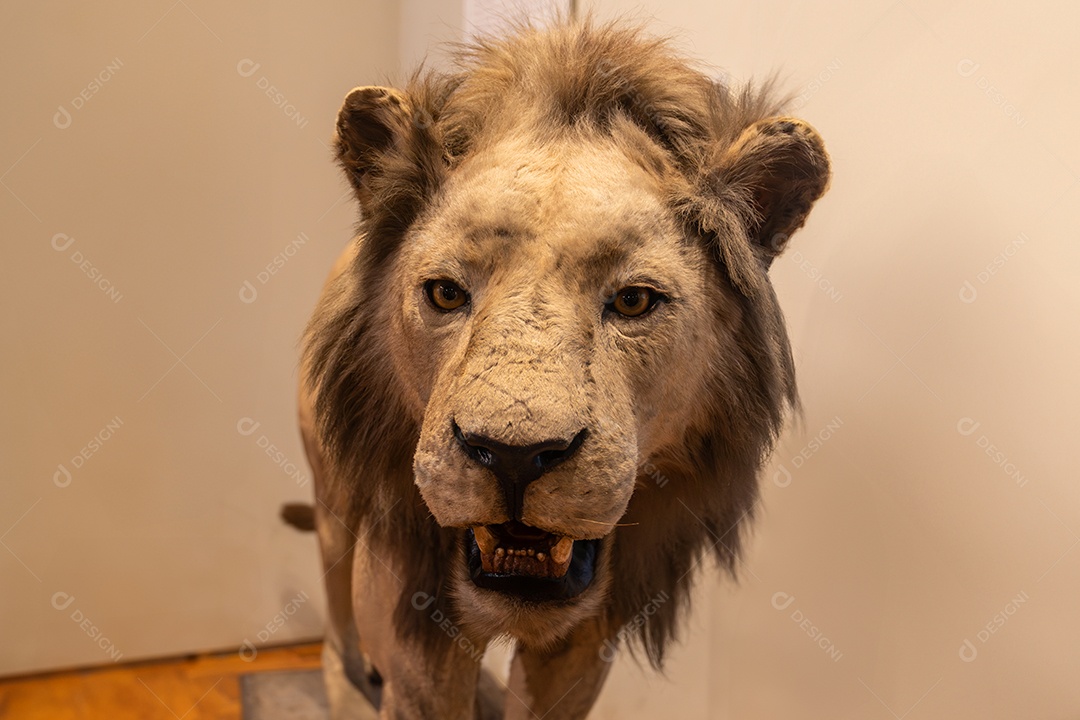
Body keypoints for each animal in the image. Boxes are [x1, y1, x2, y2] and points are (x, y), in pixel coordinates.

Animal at [296, 19, 830, 720]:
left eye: (633, 302)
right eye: (445, 294)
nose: (514, 455)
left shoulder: (586, 638)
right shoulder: (409, 616)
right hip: (333, 505)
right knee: (335, 623)